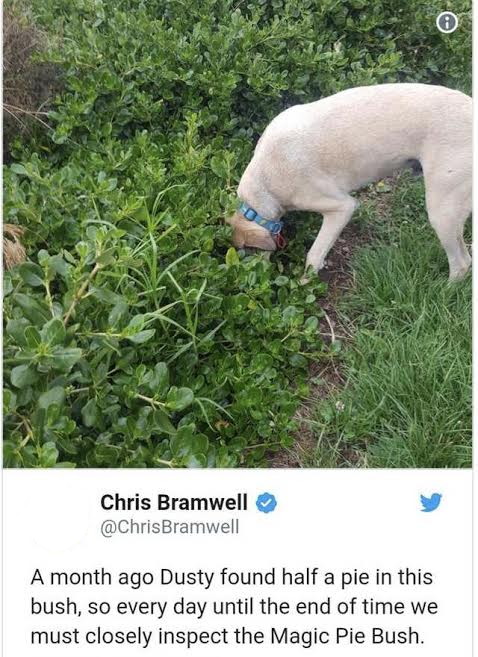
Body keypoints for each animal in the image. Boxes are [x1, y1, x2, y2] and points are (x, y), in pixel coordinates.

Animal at [227, 83, 470, 280]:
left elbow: (314, 255)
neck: (263, 185)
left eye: (248, 254)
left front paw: (306, 285)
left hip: (442, 213)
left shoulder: (341, 208)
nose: (253, 282)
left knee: (462, 264)